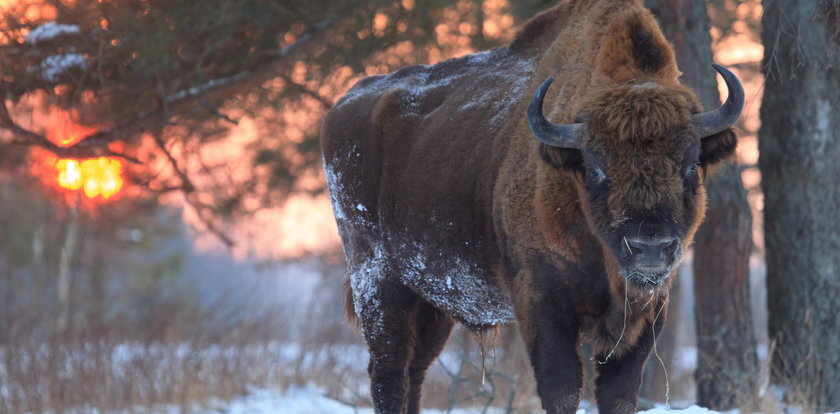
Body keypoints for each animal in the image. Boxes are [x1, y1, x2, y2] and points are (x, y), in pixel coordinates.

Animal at [320, 1, 740, 412]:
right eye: (595, 166)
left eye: (690, 163)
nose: (650, 247)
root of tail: (342, 107)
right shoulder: (542, 301)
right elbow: (562, 389)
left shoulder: (648, 313)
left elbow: (619, 394)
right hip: (378, 282)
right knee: (388, 371)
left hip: (429, 302)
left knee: (414, 371)